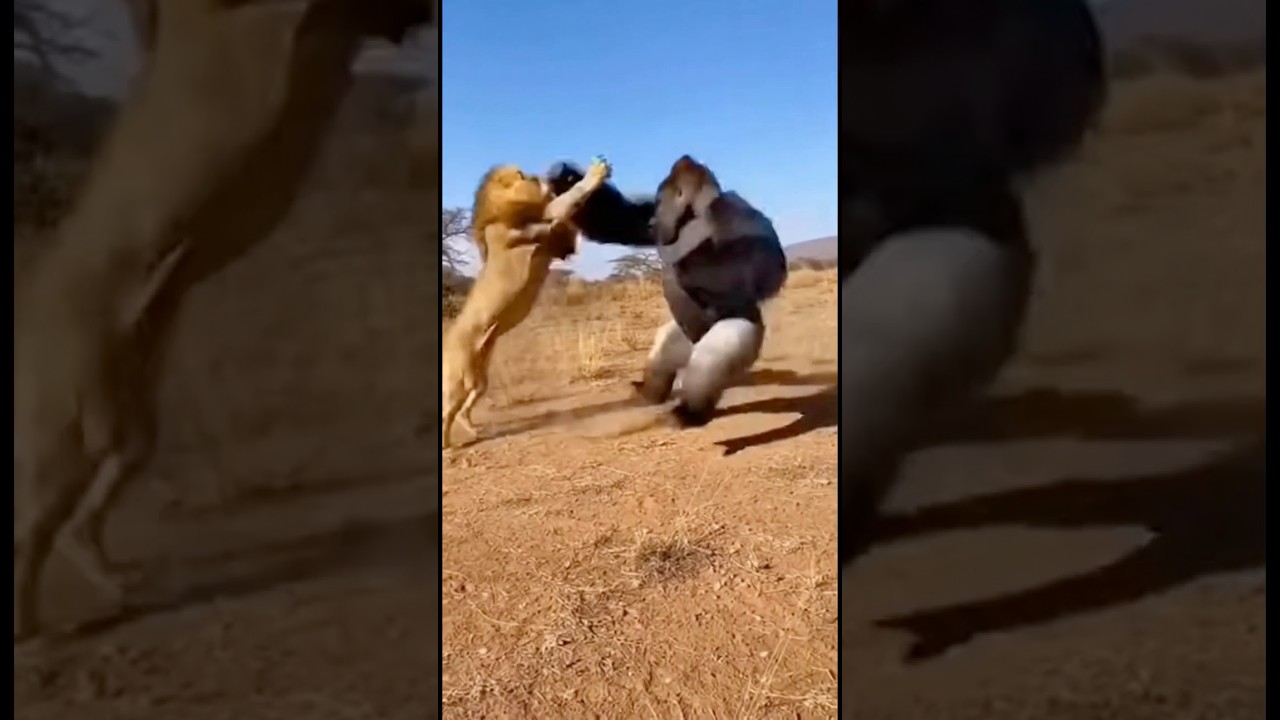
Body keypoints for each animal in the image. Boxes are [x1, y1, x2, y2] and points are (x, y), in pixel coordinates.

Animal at [13, 0, 433, 649]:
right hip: (67, 414)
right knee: (35, 522)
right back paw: (31, 627)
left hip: (128, 414)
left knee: (98, 491)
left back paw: (106, 577)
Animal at [439, 157, 612, 448]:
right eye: (528, 176)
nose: (547, 176)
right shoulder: (538, 227)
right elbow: (566, 201)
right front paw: (595, 172)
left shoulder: (557, 241)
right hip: (456, 377)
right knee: (447, 410)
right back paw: (446, 443)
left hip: (479, 376)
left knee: (466, 403)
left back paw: (471, 427)